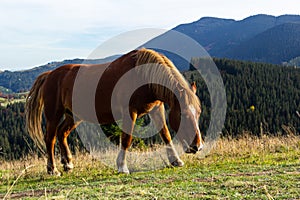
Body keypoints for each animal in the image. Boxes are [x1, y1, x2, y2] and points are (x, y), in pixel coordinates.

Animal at [25, 48, 204, 175]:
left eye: (198, 113)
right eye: (183, 114)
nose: (197, 146)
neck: (142, 75)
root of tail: (50, 75)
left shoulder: (156, 109)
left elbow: (165, 134)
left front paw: (176, 161)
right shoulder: (129, 112)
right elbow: (126, 139)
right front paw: (122, 167)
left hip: (73, 116)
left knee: (62, 133)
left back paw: (68, 163)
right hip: (53, 114)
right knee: (50, 138)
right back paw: (52, 169)